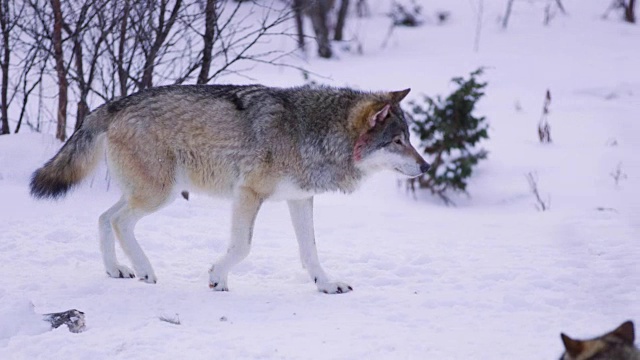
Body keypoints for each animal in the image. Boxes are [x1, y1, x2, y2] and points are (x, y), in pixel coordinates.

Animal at [30, 85, 430, 296]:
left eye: (409, 139)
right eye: (397, 141)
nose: (426, 167)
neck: (312, 133)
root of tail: (113, 104)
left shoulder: (300, 199)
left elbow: (310, 252)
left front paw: (326, 285)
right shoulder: (248, 194)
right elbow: (242, 247)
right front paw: (217, 278)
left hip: (147, 192)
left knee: (102, 217)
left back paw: (117, 270)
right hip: (160, 194)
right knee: (118, 222)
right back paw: (145, 271)